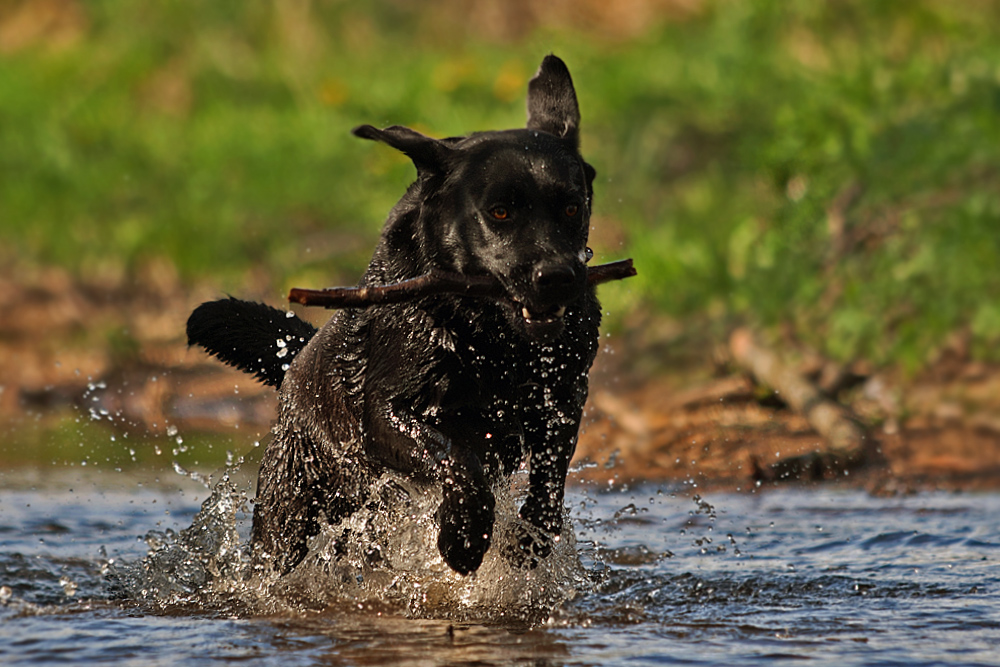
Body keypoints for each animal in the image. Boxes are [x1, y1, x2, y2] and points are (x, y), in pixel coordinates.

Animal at [188, 56, 600, 580]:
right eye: (500, 212)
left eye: (571, 207)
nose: (558, 277)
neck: (491, 339)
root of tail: (296, 361)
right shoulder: (386, 415)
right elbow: (456, 458)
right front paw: (463, 539)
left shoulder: (563, 399)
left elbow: (549, 480)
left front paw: (529, 541)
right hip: (291, 511)